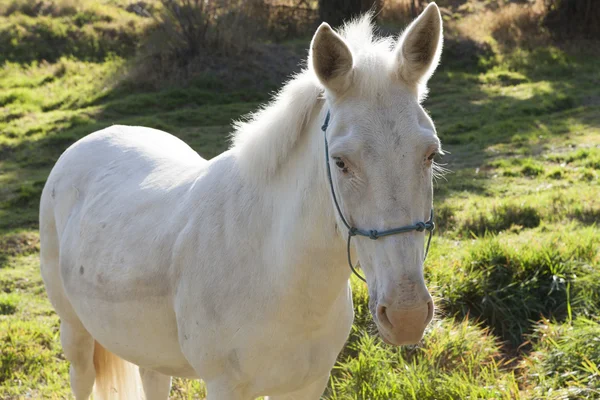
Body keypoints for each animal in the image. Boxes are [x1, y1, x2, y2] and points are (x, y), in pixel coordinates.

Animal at [37, 3, 440, 400]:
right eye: (340, 162)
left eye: (430, 154)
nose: (406, 316)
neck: (276, 272)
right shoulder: (225, 386)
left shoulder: (307, 385)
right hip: (74, 331)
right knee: (82, 378)